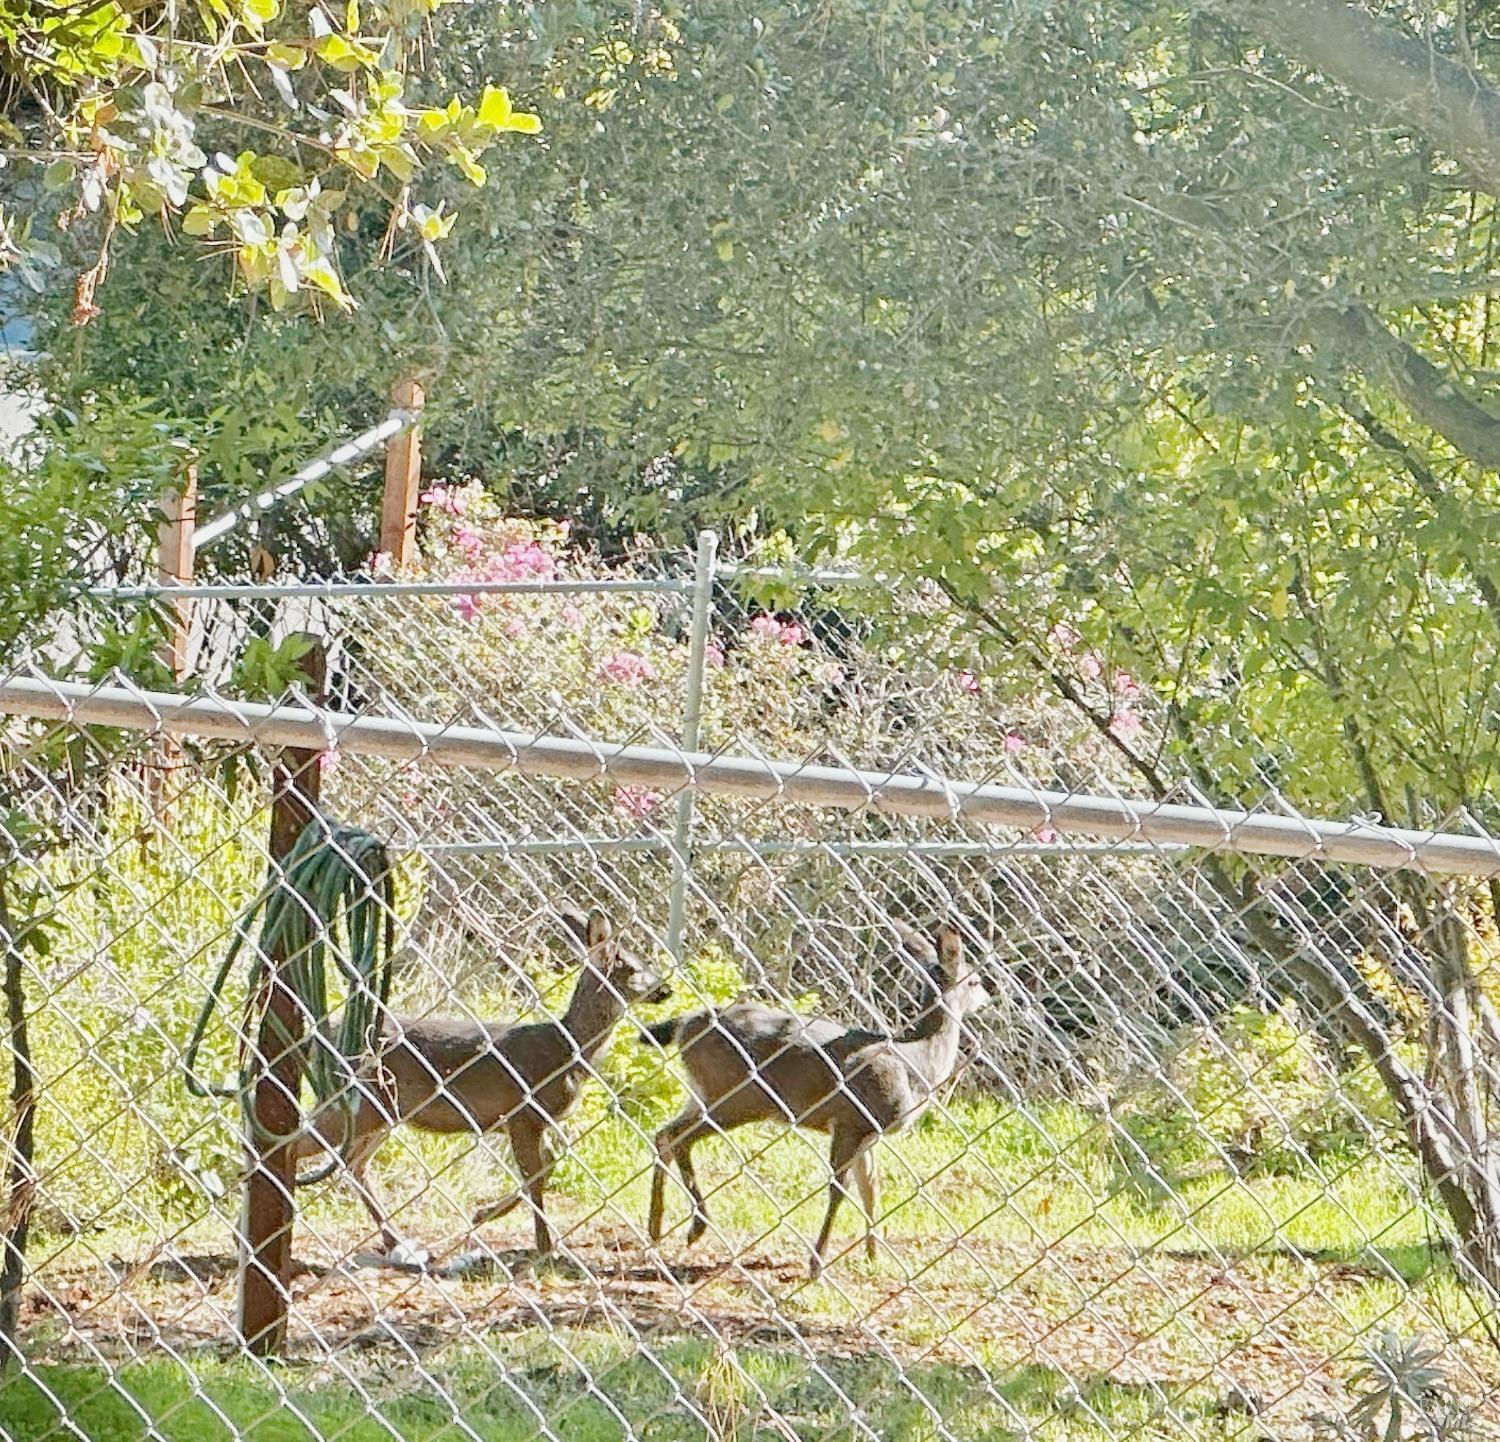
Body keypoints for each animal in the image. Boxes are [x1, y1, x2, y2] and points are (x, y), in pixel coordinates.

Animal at [292, 912, 669, 1260]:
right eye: (634, 968)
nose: (667, 989)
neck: (568, 1050)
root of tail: (315, 1040)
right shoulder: (522, 1113)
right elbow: (535, 1174)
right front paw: (543, 1246)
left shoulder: (536, 1121)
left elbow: (546, 1166)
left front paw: (487, 1215)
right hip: (356, 1103)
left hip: (380, 1112)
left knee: (353, 1164)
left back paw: (394, 1240)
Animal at [639, 924, 990, 1272]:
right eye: (973, 979)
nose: (987, 996)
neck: (917, 1061)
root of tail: (685, 1024)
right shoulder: (850, 1121)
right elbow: (840, 1189)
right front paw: (817, 1261)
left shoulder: (867, 1133)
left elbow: (870, 1188)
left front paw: (873, 1256)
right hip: (735, 1095)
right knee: (678, 1137)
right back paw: (694, 1228)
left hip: (706, 1092)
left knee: (663, 1134)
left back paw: (655, 1231)